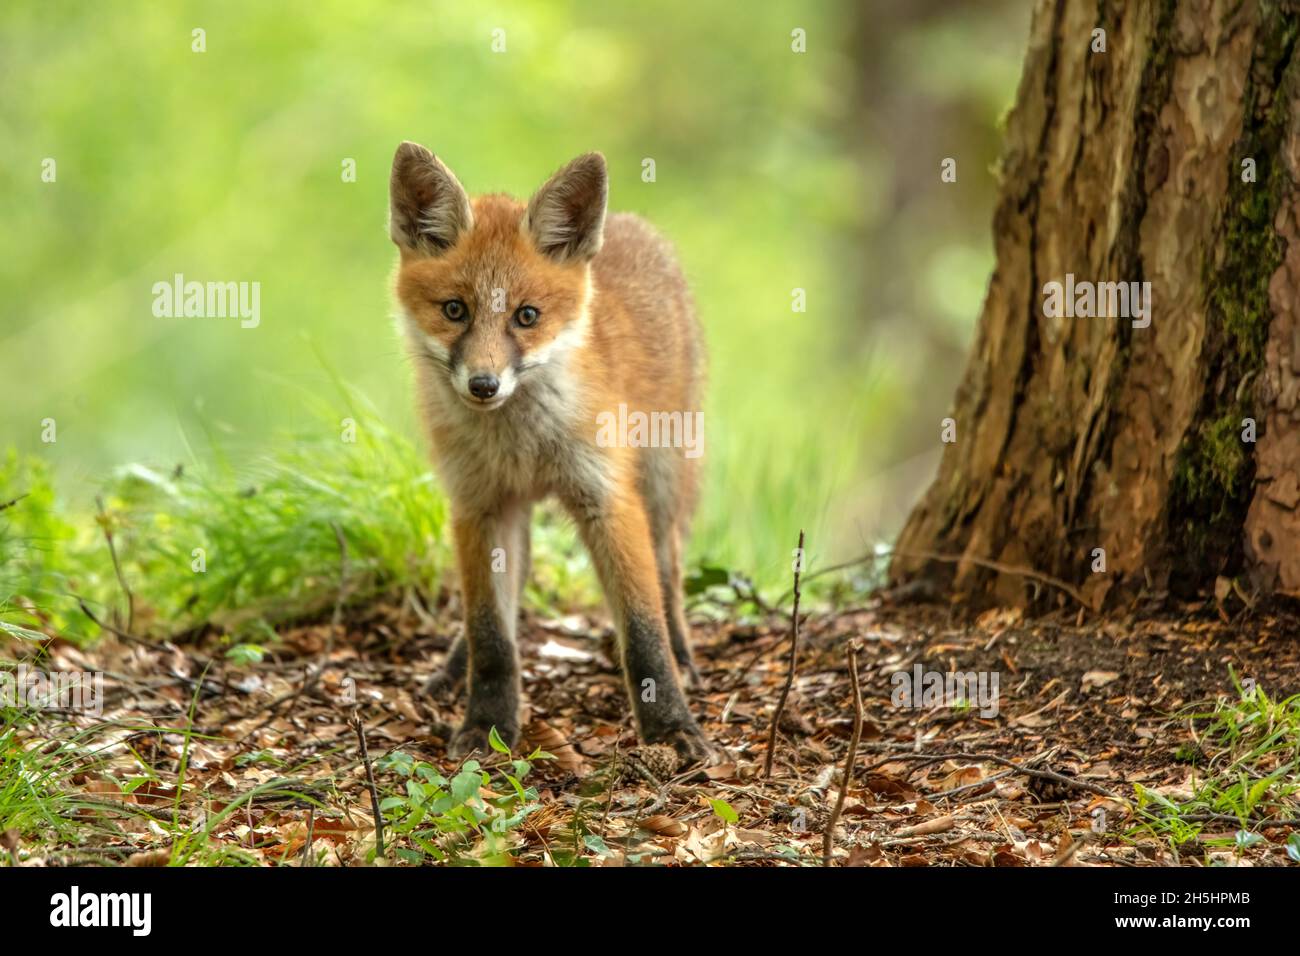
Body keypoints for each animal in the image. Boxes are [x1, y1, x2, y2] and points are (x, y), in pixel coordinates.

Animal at [388, 142, 714, 766]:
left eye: (527, 316)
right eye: (455, 310)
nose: (484, 385)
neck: (521, 444)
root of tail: (635, 226)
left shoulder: (606, 497)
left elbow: (643, 633)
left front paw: (670, 727)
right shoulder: (477, 504)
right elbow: (492, 633)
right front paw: (488, 722)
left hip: (665, 480)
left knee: (668, 572)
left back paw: (685, 653)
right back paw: (454, 668)